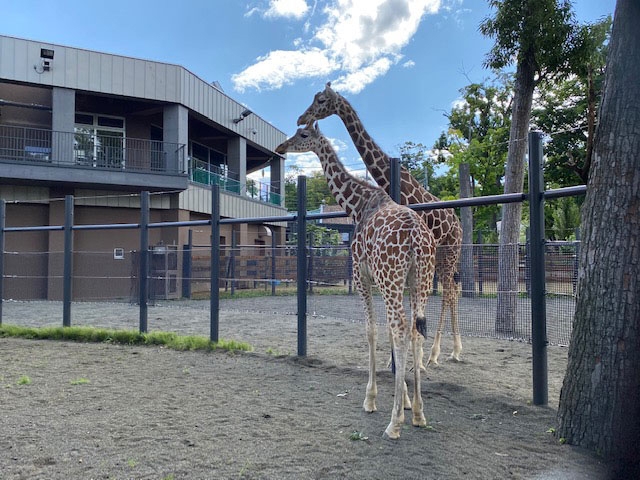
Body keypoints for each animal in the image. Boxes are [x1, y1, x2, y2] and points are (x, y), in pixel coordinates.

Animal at [276, 123, 436, 438]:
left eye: (302, 134)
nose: (281, 147)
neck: (359, 203)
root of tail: (416, 237)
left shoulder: (362, 277)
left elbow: (371, 331)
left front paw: (371, 399)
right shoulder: (390, 282)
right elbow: (389, 334)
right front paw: (407, 402)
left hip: (392, 278)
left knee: (401, 328)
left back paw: (394, 424)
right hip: (420, 280)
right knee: (414, 331)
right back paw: (419, 414)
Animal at [298, 83, 462, 368]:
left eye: (320, 100)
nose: (301, 118)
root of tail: (459, 223)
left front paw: (412, 360)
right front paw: (394, 361)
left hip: (450, 250)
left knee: (450, 292)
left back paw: (442, 352)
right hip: (441, 255)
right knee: (451, 290)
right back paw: (450, 350)